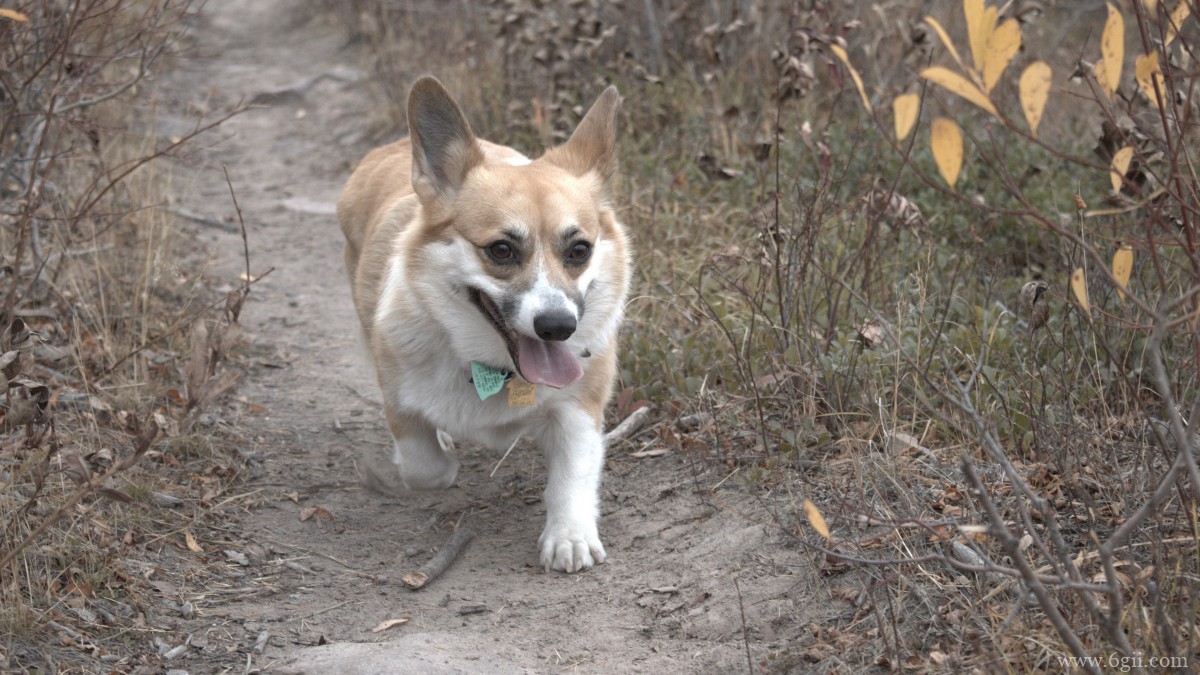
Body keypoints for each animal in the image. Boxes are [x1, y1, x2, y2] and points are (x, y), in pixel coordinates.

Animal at [333, 77, 633, 571]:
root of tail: (388, 148)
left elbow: (572, 474)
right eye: (501, 250)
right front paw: (435, 456)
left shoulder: (580, 409)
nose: (558, 327)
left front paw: (569, 537)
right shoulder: (399, 402)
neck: (495, 368)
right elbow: (427, 468)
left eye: (579, 250)